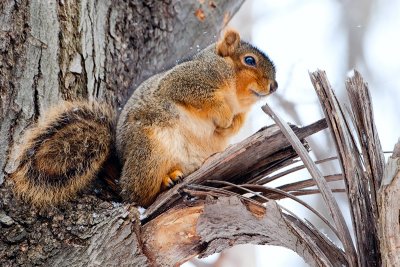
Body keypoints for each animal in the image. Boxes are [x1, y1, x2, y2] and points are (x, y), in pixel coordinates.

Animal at [10, 30, 278, 208]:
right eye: (249, 60)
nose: (274, 86)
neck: (235, 98)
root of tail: (121, 176)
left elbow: (235, 125)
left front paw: (229, 126)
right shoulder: (187, 81)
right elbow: (205, 99)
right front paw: (222, 115)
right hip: (149, 152)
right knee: (137, 197)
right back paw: (165, 181)